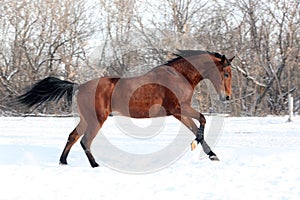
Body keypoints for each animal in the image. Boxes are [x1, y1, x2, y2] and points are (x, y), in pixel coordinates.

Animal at [18, 49, 234, 167]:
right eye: (226, 73)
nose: (227, 97)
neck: (178, 77)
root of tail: (78, 86)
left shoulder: (179, 112)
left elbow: (196, 126)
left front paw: (212, 154)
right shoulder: (178, 109)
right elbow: (202, 120)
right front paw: (200, 147)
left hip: (86, 118)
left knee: (73, 136)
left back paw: (63, 162)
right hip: (97, 119)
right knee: (85, 140)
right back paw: (95, 166)